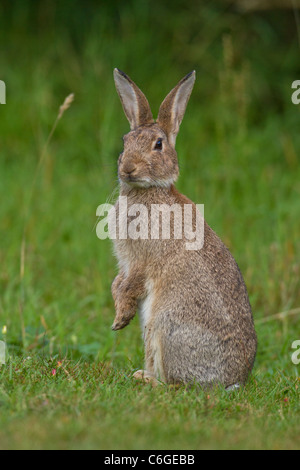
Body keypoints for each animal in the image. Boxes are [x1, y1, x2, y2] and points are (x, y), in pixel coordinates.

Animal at [110, 67, 258, 390]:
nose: (128, 169)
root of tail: (232, 381)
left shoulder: (144, 259)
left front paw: (120, 319)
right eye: (125, 141)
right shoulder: (126, 262)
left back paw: (146, 380)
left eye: (158, 145)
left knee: (178, 386)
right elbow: (118, 283)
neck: (151, 191)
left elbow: (130, 285)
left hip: (166, 326)